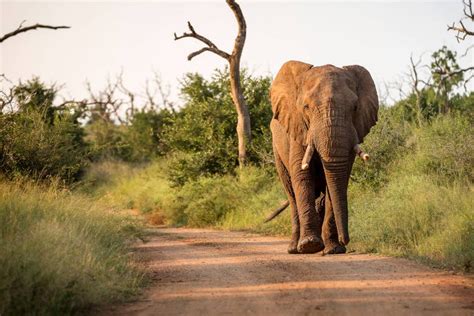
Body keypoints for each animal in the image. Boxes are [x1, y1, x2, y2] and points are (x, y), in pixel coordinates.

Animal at [268, 61, 380, 254]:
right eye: (306, 107)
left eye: (355, 108)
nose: (345, 240)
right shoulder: (299, 129)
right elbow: (302, 175)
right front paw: (310, 245)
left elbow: (337, 180)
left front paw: (333, 250)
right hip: (277, 151)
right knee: (291, 193)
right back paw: (295, 248)